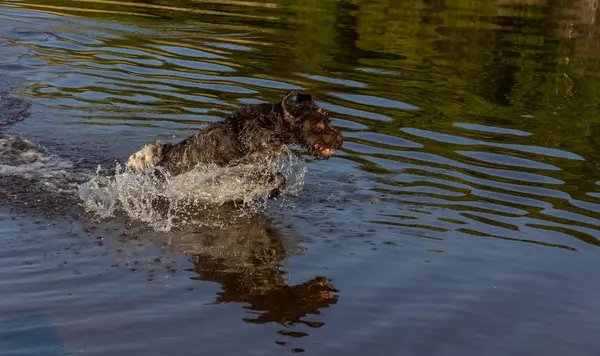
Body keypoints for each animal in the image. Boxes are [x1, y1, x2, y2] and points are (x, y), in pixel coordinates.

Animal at [125, 92, 344, 192]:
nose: (341, 139)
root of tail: (168, 151)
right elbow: (278, 177)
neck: (273, 126)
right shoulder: (251, 164)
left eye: (328, 120)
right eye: (318, 123)